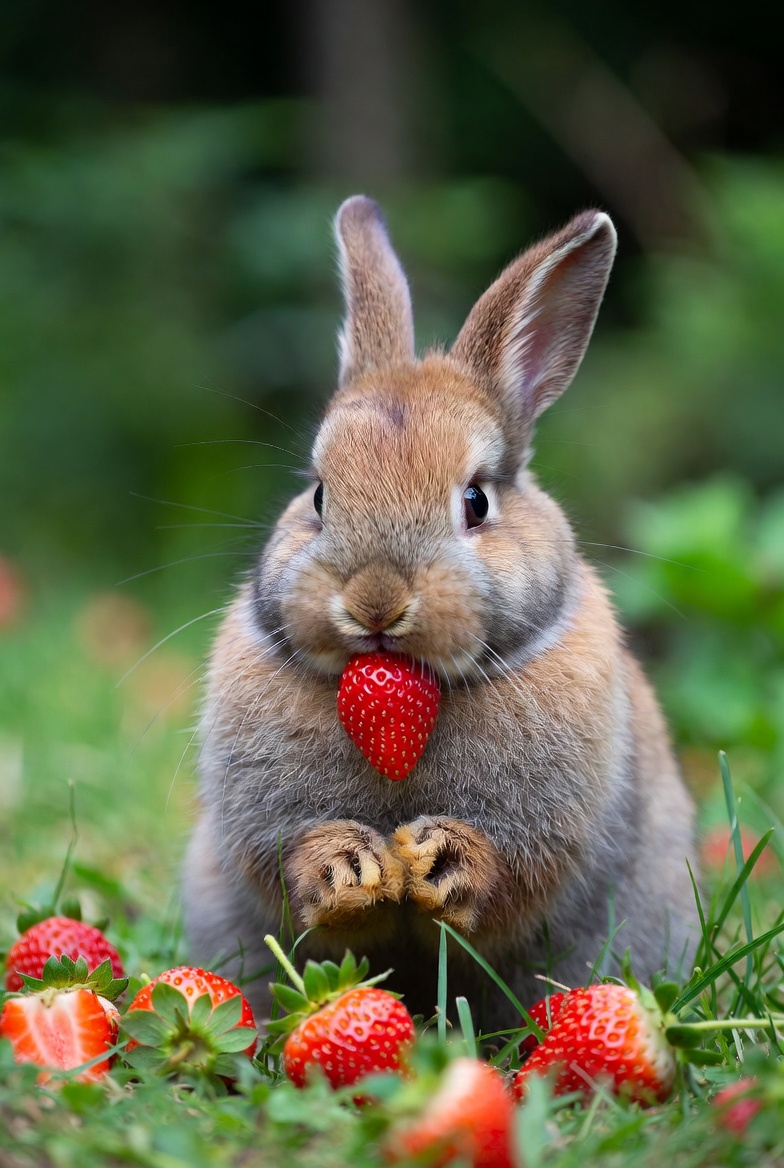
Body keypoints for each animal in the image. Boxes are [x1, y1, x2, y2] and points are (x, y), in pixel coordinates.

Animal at [182, 195, 700, 1030]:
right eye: (319, 496)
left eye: (476, 501)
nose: (375, 601)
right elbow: (294, 877)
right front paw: (347, 865)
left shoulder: (545, 837)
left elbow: (507, 885)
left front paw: (442, 860)